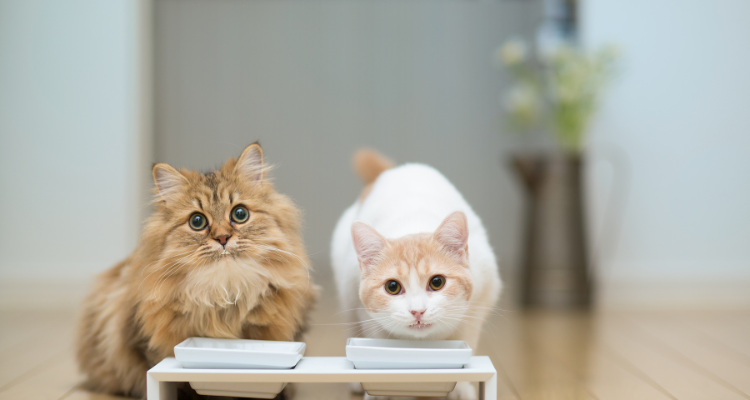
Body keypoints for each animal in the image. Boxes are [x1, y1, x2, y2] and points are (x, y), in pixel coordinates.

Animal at [332, 151, 502, 400]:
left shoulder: (482, 298)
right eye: (392, 287)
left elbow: (465, 341)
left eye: (437, 282)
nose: (417, 311)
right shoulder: (363, 308)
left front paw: (460, 386)